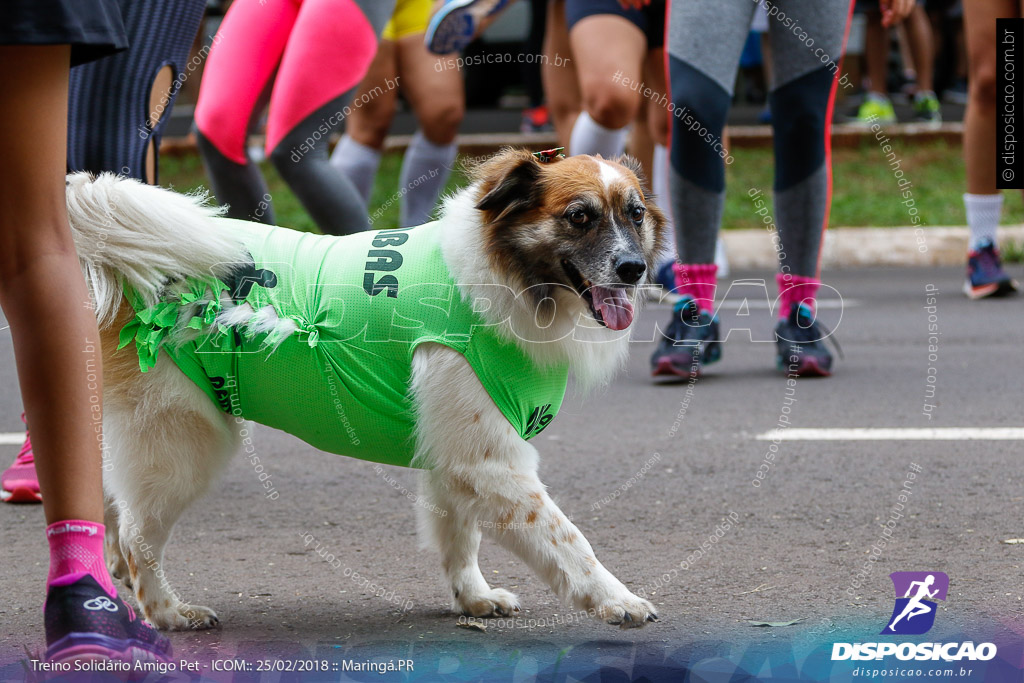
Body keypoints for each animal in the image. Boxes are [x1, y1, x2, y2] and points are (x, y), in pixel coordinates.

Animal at [68, 148, 667, 630]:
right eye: (579, 217)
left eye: (635, 214)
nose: (634, 269)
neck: (499, 278)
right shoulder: (491, 461)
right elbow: (568, 541)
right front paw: (618, 600)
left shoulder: (455, 455)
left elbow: (461, 536)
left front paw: (472, 598)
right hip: (185, 443)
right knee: (137, 535)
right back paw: (168, 612)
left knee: (115, 504)